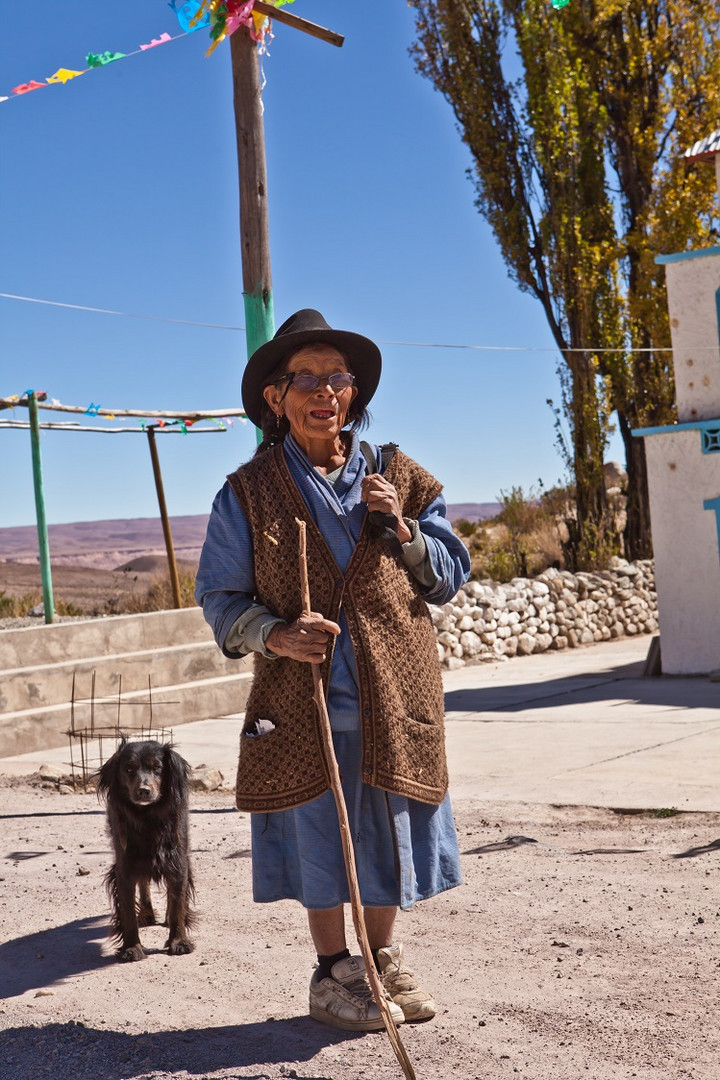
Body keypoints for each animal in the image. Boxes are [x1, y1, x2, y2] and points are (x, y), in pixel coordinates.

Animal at [97, 734, 197, 963]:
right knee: (143, 882)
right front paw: (132, 947)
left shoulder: (177, 860)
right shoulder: (124, 865)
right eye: (129, 769)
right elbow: (127, 912)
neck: (147, 817)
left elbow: (178, 902)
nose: (144, 791)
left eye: (157, 767)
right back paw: (146, 913)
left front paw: (179, 941)